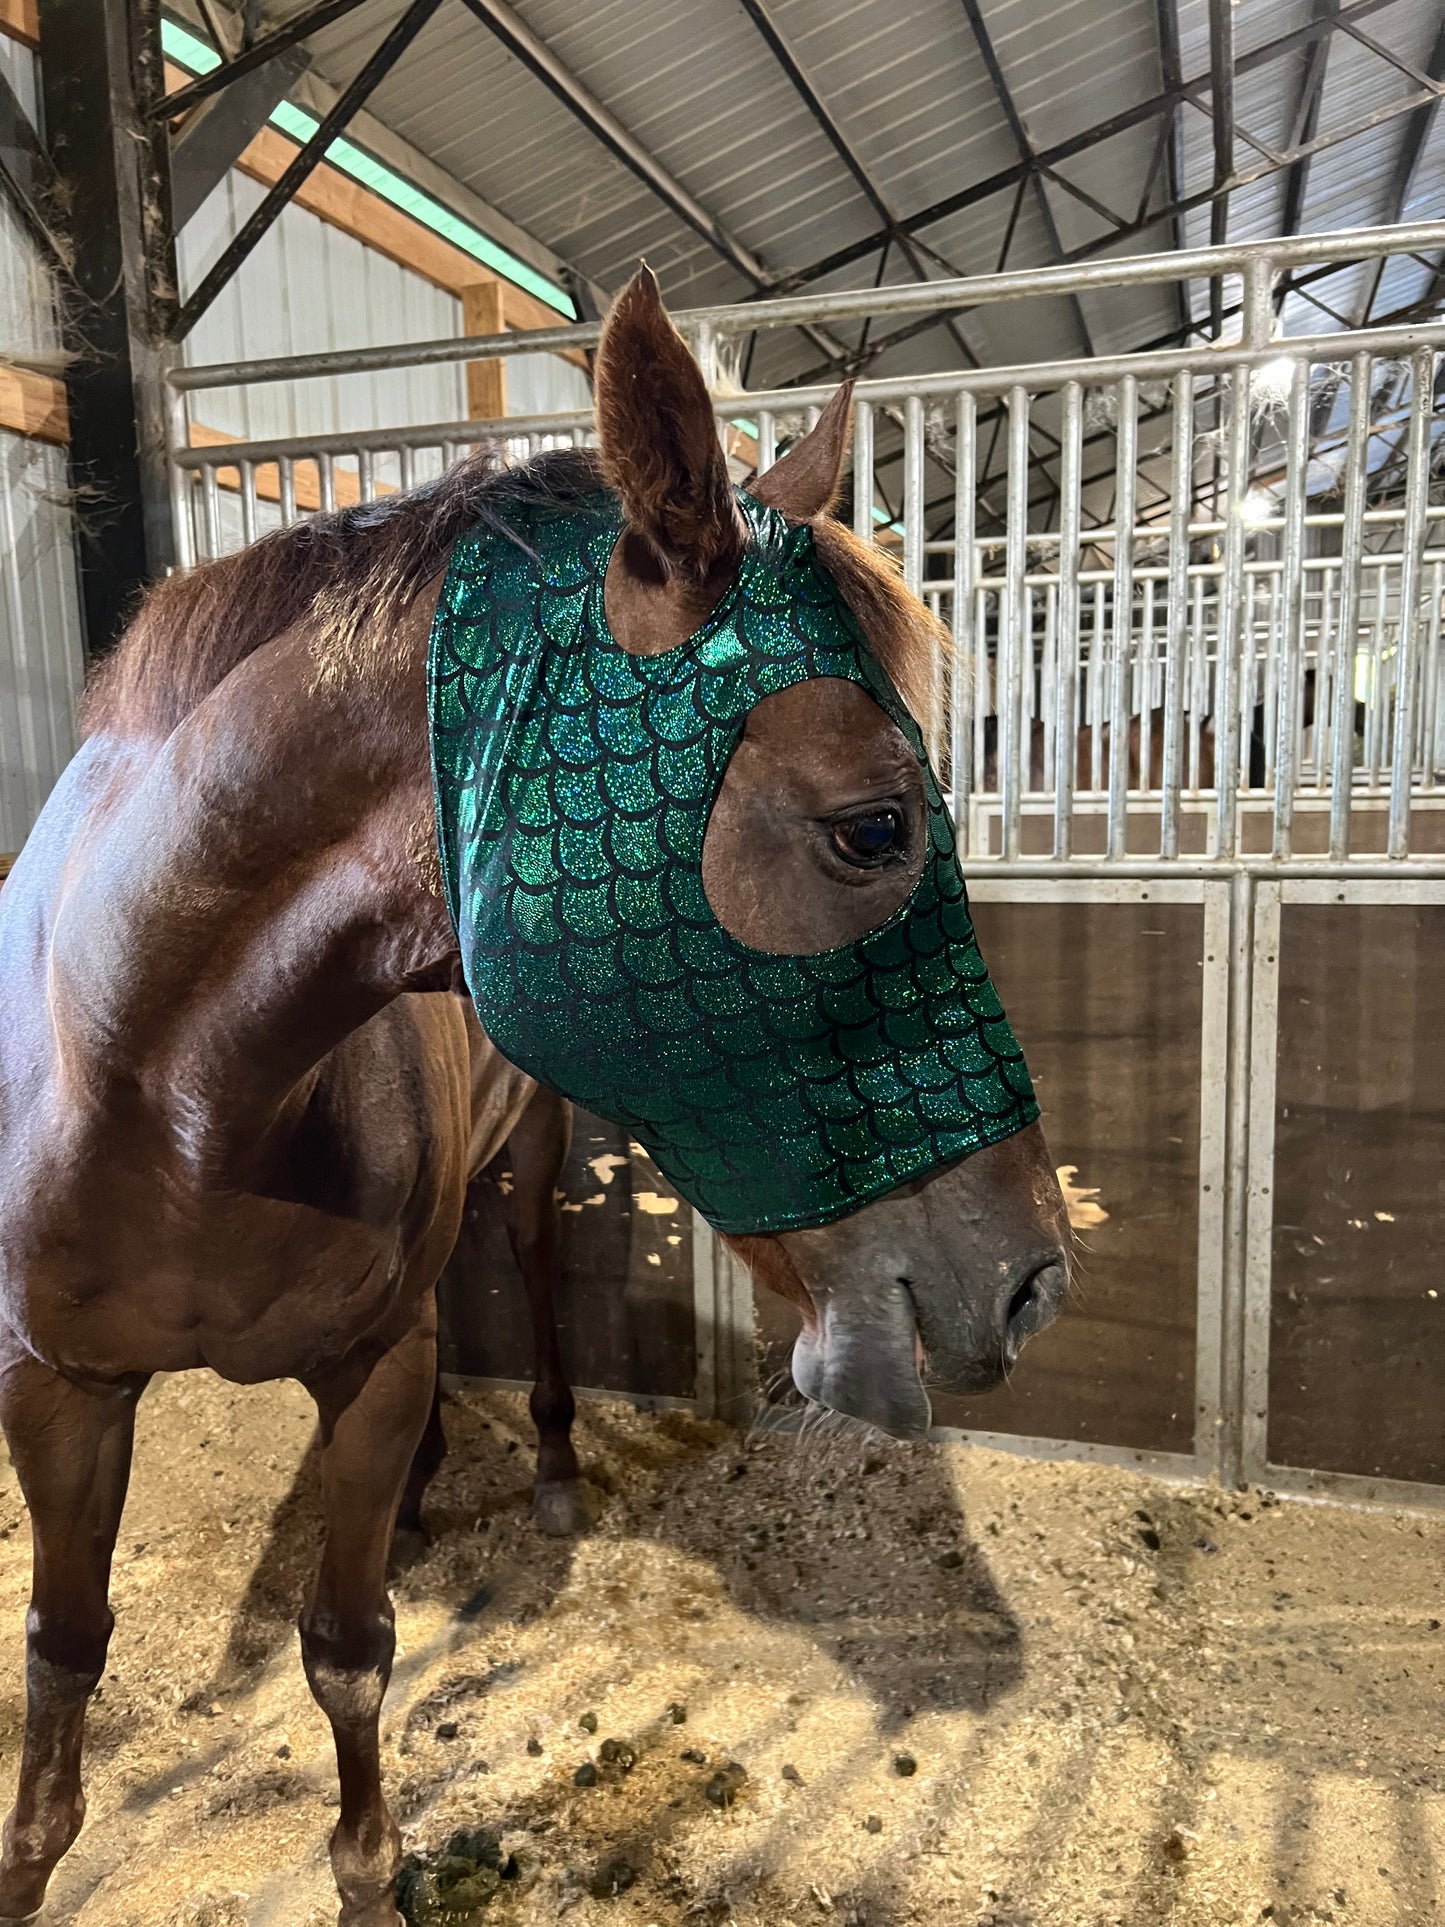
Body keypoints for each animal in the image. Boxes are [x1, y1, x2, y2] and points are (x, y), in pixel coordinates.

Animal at [0, 268, 1068, 1925]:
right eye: (874, 825)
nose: (1029, 1276)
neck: (165, 1085)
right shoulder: (55, 1383)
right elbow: (62, 1651)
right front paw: (36, 1852)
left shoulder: (372, 1365)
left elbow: (349, 1651)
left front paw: (371, 1868)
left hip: (533, 1168)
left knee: (530, 1278)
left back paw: (548, 1470)